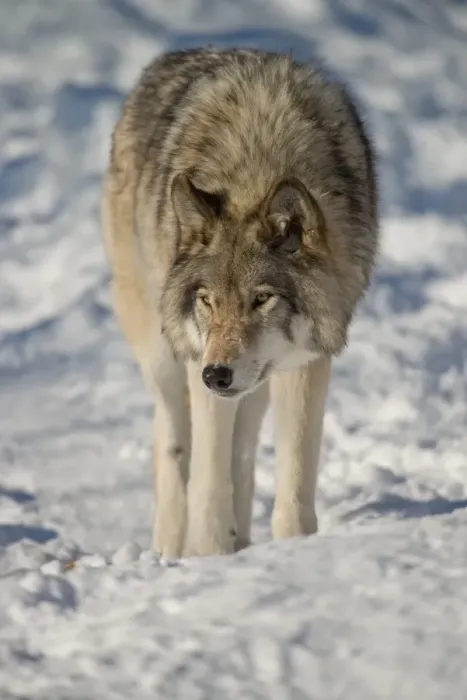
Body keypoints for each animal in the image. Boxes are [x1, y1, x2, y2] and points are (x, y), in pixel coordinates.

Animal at [101, 48, 378, 558]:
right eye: (208, 301)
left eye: (262, 299)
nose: (217, 375)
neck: (259, 167)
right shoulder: (200, 360)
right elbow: (208, 484)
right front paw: (208, 558)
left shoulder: (306, 362)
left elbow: (293, 482)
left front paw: (292, 551)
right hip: (164, 357)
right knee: (173, 448)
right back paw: (169, 550)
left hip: (252, 383)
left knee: (243, 452)